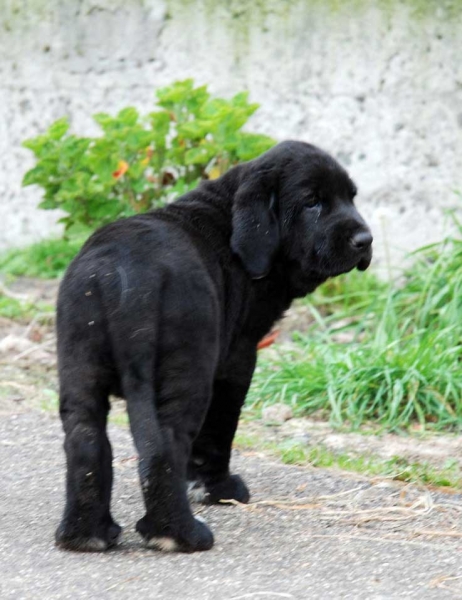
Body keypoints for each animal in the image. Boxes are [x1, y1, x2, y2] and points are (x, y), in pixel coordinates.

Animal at [55, 141, 372, 552]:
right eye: (313, 202)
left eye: (351, 197)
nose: (365, 240)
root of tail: (126, 280)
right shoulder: (237, 359)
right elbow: (220, 429)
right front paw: (218, 490)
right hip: (187, 371)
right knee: (165, 445)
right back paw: (179, 534)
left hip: (80, 364)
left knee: (85, 441)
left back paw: (85, 534)